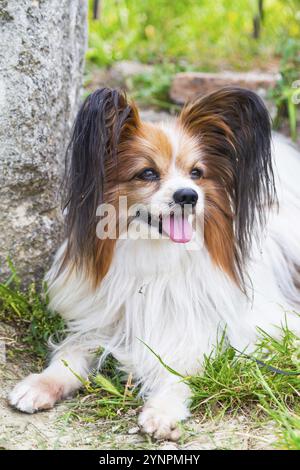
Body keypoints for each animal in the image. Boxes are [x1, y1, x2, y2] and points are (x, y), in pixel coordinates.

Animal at [8, 85, 300, 440]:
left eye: (196, 173)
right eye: (147, 173)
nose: (189, 195)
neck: (154, 255)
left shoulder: (203, 333)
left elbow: (179, 373)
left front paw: (162, 411)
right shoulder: (102, 322)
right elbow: (70, 354)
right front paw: (41, 384)